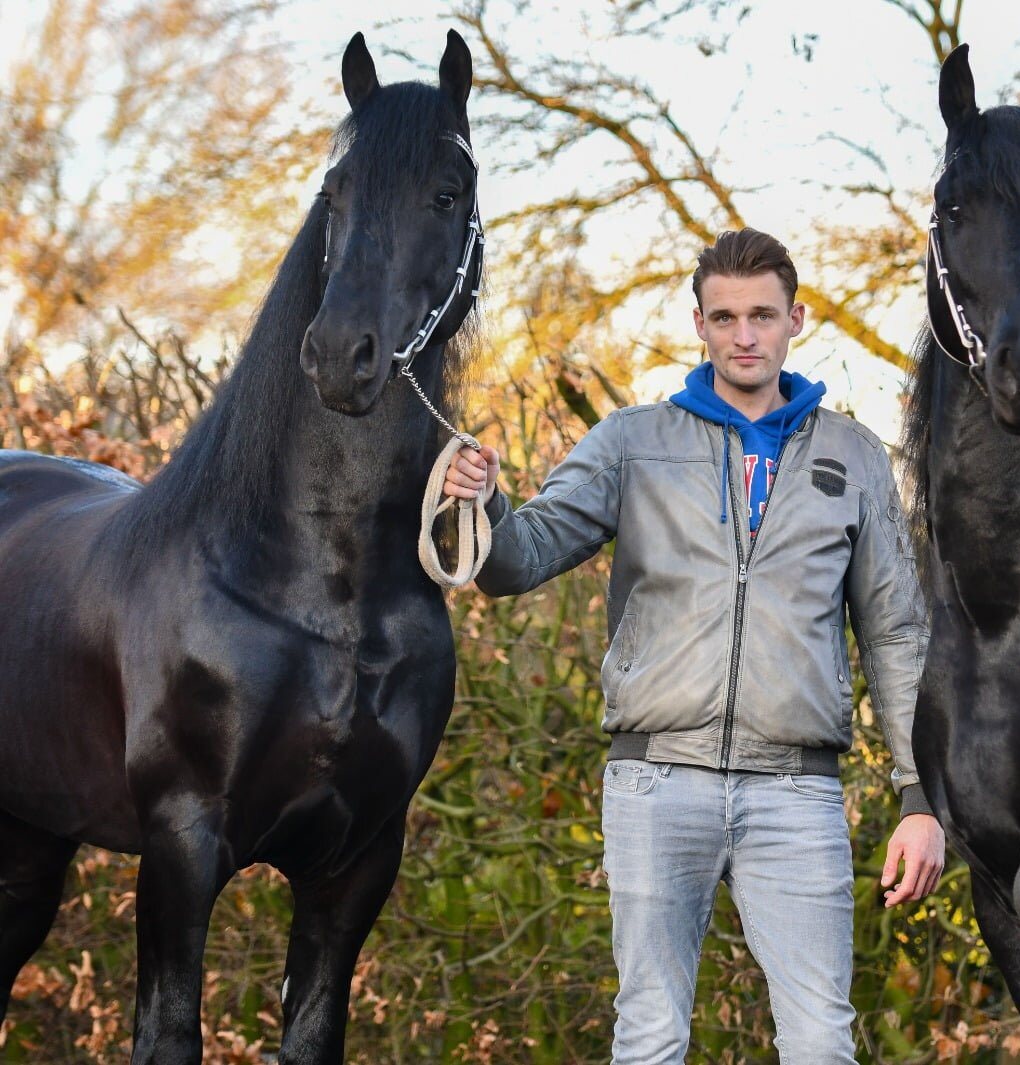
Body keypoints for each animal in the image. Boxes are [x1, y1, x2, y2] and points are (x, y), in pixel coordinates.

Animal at [0, 29, 482, 1063]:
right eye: (335, 188)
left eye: (448, 192)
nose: (342, 355)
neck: (326, 595)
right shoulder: (183, 845)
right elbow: (168, 1033)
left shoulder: (356, 861)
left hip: (30, 841)